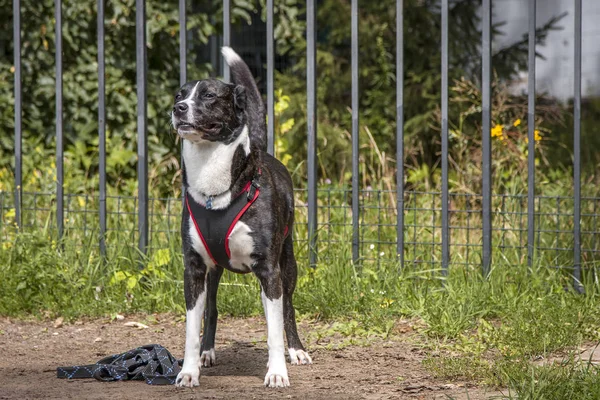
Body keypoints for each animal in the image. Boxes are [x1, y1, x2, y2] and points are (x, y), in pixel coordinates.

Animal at [171, 47, 312, 388]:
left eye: (208, 95)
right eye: (179, 94)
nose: (178, 109)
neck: (216, 192)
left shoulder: (270, 270)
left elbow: (274, 328)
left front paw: (277, 372)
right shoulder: (194, 269)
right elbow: (191, 329)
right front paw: (188, 371)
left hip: (288, 262)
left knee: (286, 307)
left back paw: (296, 350)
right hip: (214, 272)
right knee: (212, 309)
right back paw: (207, 352)